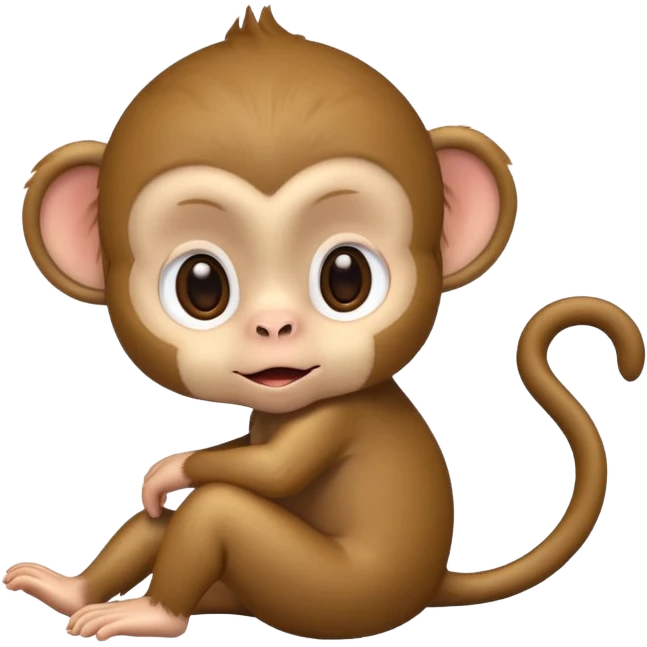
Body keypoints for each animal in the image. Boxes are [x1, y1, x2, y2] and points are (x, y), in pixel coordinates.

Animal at [3, 4, 645, 642]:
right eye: (201, 286)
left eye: (346, 277)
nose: (275, 326)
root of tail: (430, 585)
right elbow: (244, 459)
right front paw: (164, 478)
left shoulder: (334, 416)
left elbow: (272, 470)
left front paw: (168, 470)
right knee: (169, 519)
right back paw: (71, 591)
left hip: (328, 592)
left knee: (217, 507)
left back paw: (153, 614)